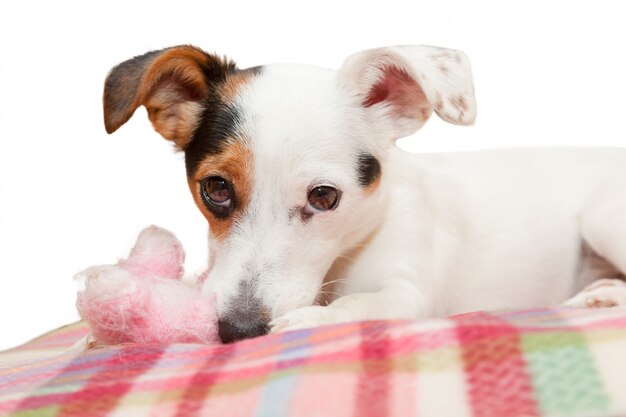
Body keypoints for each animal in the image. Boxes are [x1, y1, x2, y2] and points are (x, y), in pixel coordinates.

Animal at [102, 44, 624, 342]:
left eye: (325, 197)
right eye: (216, 188)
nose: (237, 331)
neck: (343, 260)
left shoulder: (411, 293)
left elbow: (360, 306)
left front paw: (309, 321)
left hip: (603, 217)